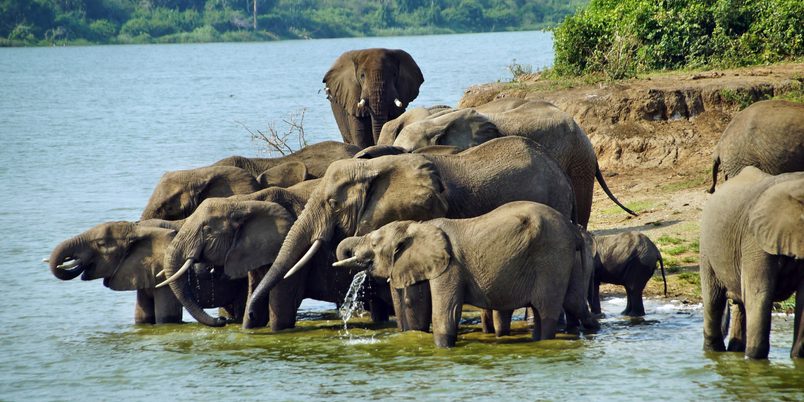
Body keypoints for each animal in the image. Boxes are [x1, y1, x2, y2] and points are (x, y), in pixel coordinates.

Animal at [46, 220, 247, 324]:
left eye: (101, 244)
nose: (221, 321)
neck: (137, 228)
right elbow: (142, 317)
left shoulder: (164, 279)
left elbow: (166, 318)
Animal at [333, 201, 599, 347]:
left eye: (374, 244)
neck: (416, 226)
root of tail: (572, 230)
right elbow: (416, 306)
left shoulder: (450, 267)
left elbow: (446, 312)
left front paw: (443, 348)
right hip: (566, 258)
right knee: (574, 302)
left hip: (551, 256)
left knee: (546, 310)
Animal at [700, 167, 804, 359]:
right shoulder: (754, 237)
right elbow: (759, 292)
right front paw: (756, 361)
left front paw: (797, 359)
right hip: (706, 249)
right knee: (714, 300)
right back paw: (715, 352)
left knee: (740, 303)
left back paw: (736, 350)